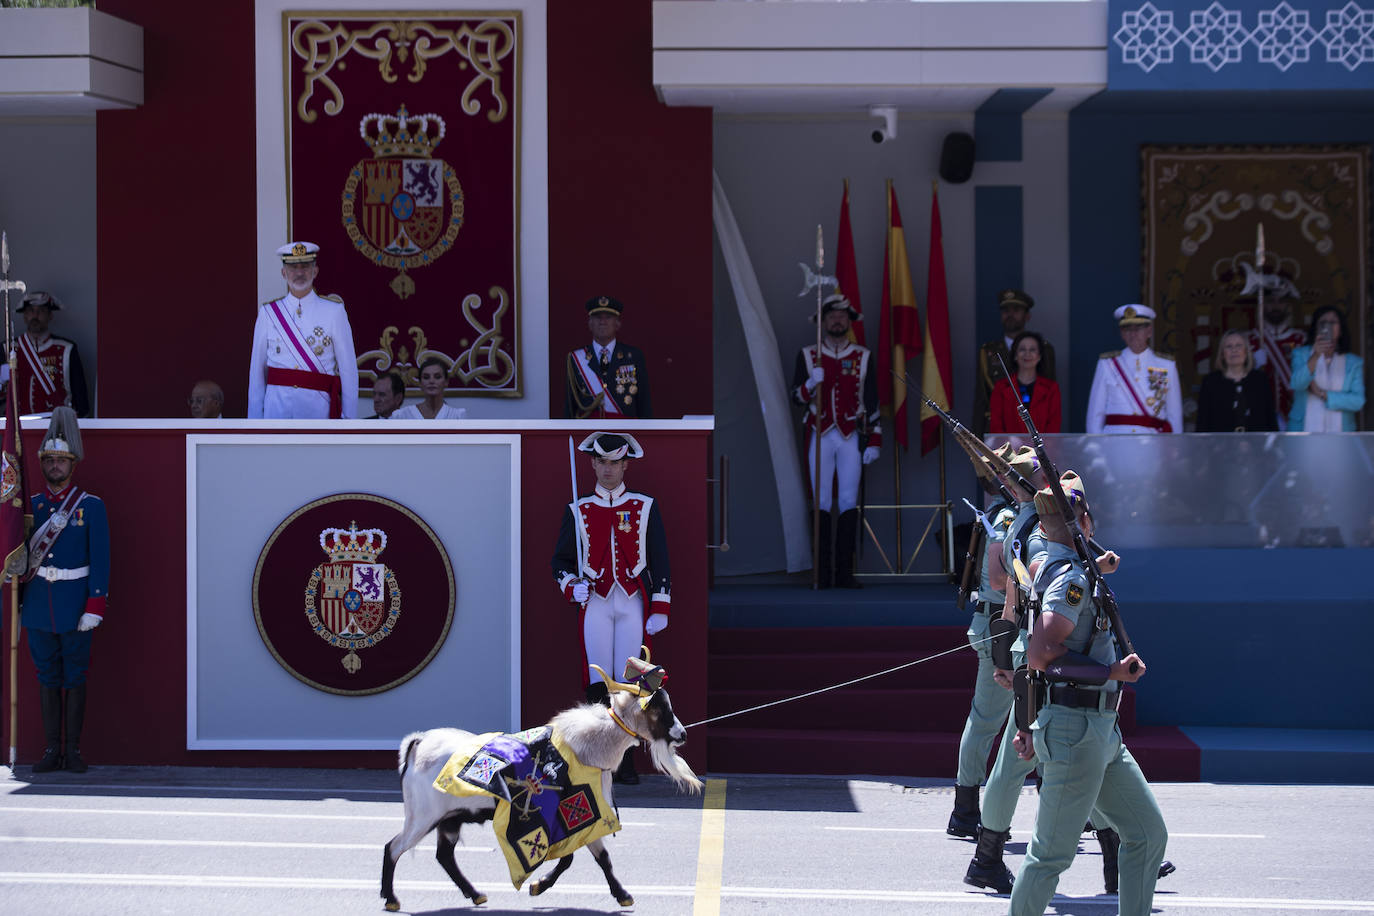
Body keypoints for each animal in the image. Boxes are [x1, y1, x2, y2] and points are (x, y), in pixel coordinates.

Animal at [379, 659, 697, 911]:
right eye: (659, 708)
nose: (682, 734)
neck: (586, 748)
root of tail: (418, 744)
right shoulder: (572, 816)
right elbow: (580, 858)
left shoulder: (578, 819)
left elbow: (594, 857)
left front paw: (618, 894)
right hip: (422, 816)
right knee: (393, 847)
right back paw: (391, 898)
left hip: (450, 818)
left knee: (444, 855)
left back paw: (475, 894)